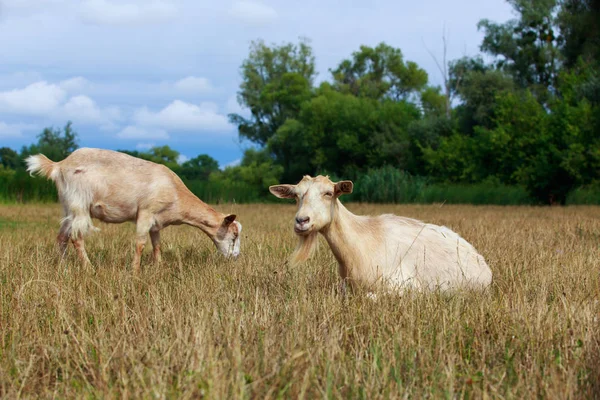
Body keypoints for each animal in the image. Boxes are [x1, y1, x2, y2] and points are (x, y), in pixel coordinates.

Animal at [25, 148, 241, 272]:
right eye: (234, 235)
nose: (236, 257)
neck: (176, 194)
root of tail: (59, 165)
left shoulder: (156, 221)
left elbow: (157, 245)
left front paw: (158, 267)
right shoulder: (145, 213)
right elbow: (140, 244)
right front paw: (135, 272)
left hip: (67, 206)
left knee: (61, 237)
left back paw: (63, 267)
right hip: (79, 204)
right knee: (76, 237)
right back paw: (89, 268)